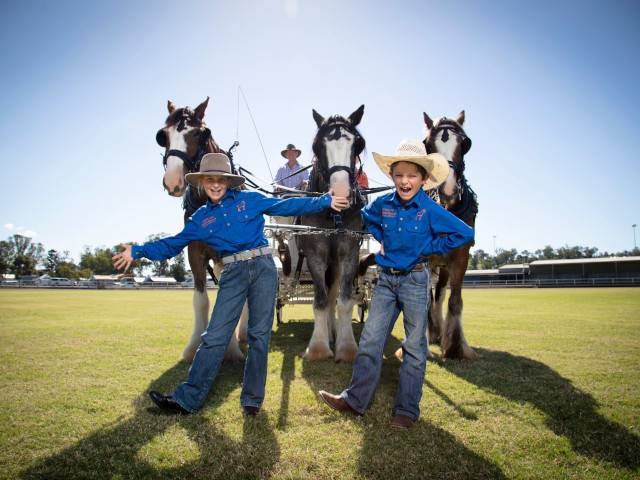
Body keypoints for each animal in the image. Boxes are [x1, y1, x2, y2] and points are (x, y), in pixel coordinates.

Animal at [155, 96, 245, 360]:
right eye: (163, 135)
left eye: (199, 133)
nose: (172, 180)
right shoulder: (194, 251)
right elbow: (201, 300)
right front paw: (193, 345)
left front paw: (231, 349)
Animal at [296, 105, 364, 360]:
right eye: (317, 145)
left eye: (358, 143)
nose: (341, 193)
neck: (333, 214)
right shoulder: (315, 255)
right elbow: (320, 301)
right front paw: (318, 347)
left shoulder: (349, 253)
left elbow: (343, 300)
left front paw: (347, 347)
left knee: (334, 292)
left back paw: (333, 332)